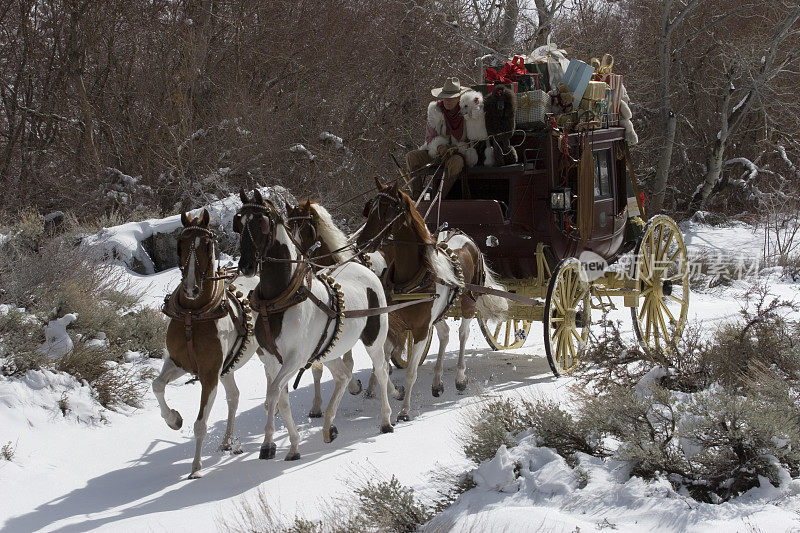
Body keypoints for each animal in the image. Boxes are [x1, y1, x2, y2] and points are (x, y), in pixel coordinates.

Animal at [152, 208, 260, 478]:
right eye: (180, 244)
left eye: (208, 245)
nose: (191, 288)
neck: (194, 315)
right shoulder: (180, 362)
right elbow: (157, 385)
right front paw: (173, 419)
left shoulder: (209, 374)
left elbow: (200, 423)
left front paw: (196, 468)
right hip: (227, 367)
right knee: (233, 397)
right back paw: (227, 441)